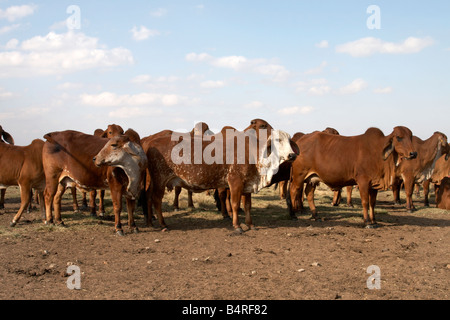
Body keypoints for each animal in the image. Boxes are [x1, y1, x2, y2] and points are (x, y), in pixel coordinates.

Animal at [142, 120, 298, 235]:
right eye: (264, 126)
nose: (292, 155)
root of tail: (151, 142)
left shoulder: (248, 184)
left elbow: (247, 205)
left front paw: (250, 224)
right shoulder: (235, 182)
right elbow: (235, 204)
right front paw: (237, 226)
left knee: (148, 196)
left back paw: (150, 222)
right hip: (160, 180)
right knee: (156, 199)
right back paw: (162, 224)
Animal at [288, 125, 418, 228]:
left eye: (411, 137)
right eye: (399, 137)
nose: (413, 153)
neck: (378, 152)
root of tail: (300, 142)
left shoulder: (374, 184)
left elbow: (372, 203)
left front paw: (374, 221)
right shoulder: (363, 181)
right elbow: (365, 202)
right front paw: (367, 222)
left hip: (312, 179)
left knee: (309, 193)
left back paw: (315, 216)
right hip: (298, 176)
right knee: (293, 191)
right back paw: (293, 215)